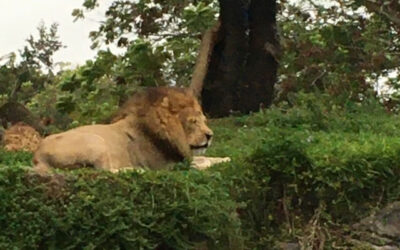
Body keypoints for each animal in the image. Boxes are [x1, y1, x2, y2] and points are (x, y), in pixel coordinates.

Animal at [32, 87, 230, 175]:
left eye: (204, 121)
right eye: (192, 122)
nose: (210, 136)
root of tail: (37, 155)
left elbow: (208, 157)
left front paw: (225, 158)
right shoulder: (165, 166)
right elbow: (201, 162)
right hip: (96, 141)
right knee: (104, 171)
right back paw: (134, 170)